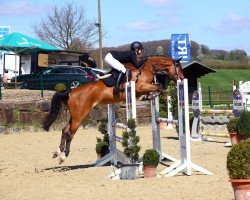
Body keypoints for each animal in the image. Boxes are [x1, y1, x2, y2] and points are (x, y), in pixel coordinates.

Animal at [42, 55, 184, 164]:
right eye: (178, 67)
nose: (182, 78)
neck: (146, 68)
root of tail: (71, 91)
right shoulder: (140, 87)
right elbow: (159, 86)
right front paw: (151, 95)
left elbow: (158, 86)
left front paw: (150, 96)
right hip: (80, 116)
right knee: (70, 134)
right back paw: (63, 156)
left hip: (76, 115)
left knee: (64, 130)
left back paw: (57, 152)